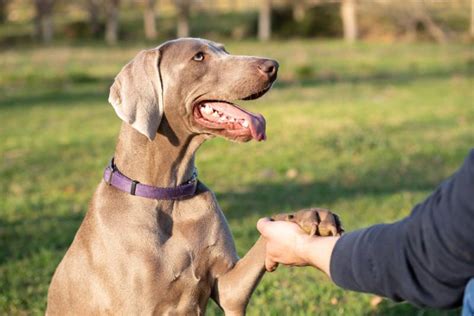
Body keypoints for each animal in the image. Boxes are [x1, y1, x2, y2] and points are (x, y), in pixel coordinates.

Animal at [46, 38, 342, 314]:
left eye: (225, 50)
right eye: (199, 57)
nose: (273, 66)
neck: (169, 193)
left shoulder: (229, 288)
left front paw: (311, 216)